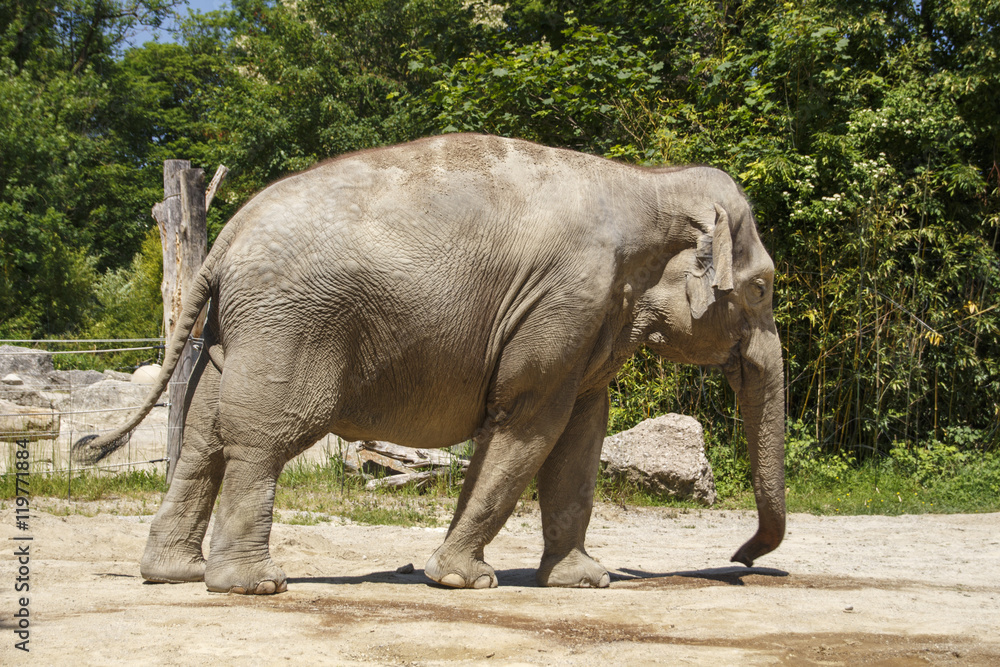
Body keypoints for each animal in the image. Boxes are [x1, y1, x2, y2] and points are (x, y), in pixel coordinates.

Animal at [74, 133, 785, 595]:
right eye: (762, 289)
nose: (743, 559)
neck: (648, 182)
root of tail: (224, 241)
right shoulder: (566, 300)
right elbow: (528, 427)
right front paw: (464, 580)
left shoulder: (588, 323)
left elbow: (580, 437)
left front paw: (585, 580)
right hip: (290, 322)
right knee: (261, 437)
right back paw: (254, 585)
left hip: (236, 330)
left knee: (202, 438)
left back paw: (178, 575)